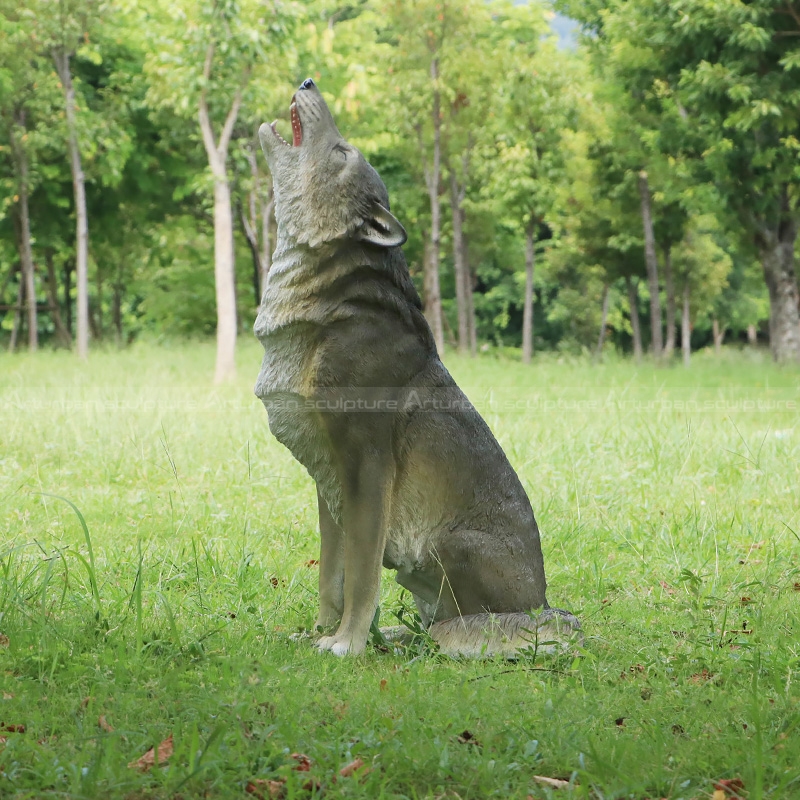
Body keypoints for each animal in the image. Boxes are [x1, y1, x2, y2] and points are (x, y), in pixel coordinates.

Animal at [254, 78, 579, 657]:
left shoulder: (368, 463)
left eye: (341, 152)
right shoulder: (328, 476)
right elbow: (331, 574)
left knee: (470, 624)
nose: (310, 82)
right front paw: (320, 634)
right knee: (432, 621)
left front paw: (347, 644)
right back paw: (400, 635)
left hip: (449, 546)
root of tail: (543, 605)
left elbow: (360, 574)